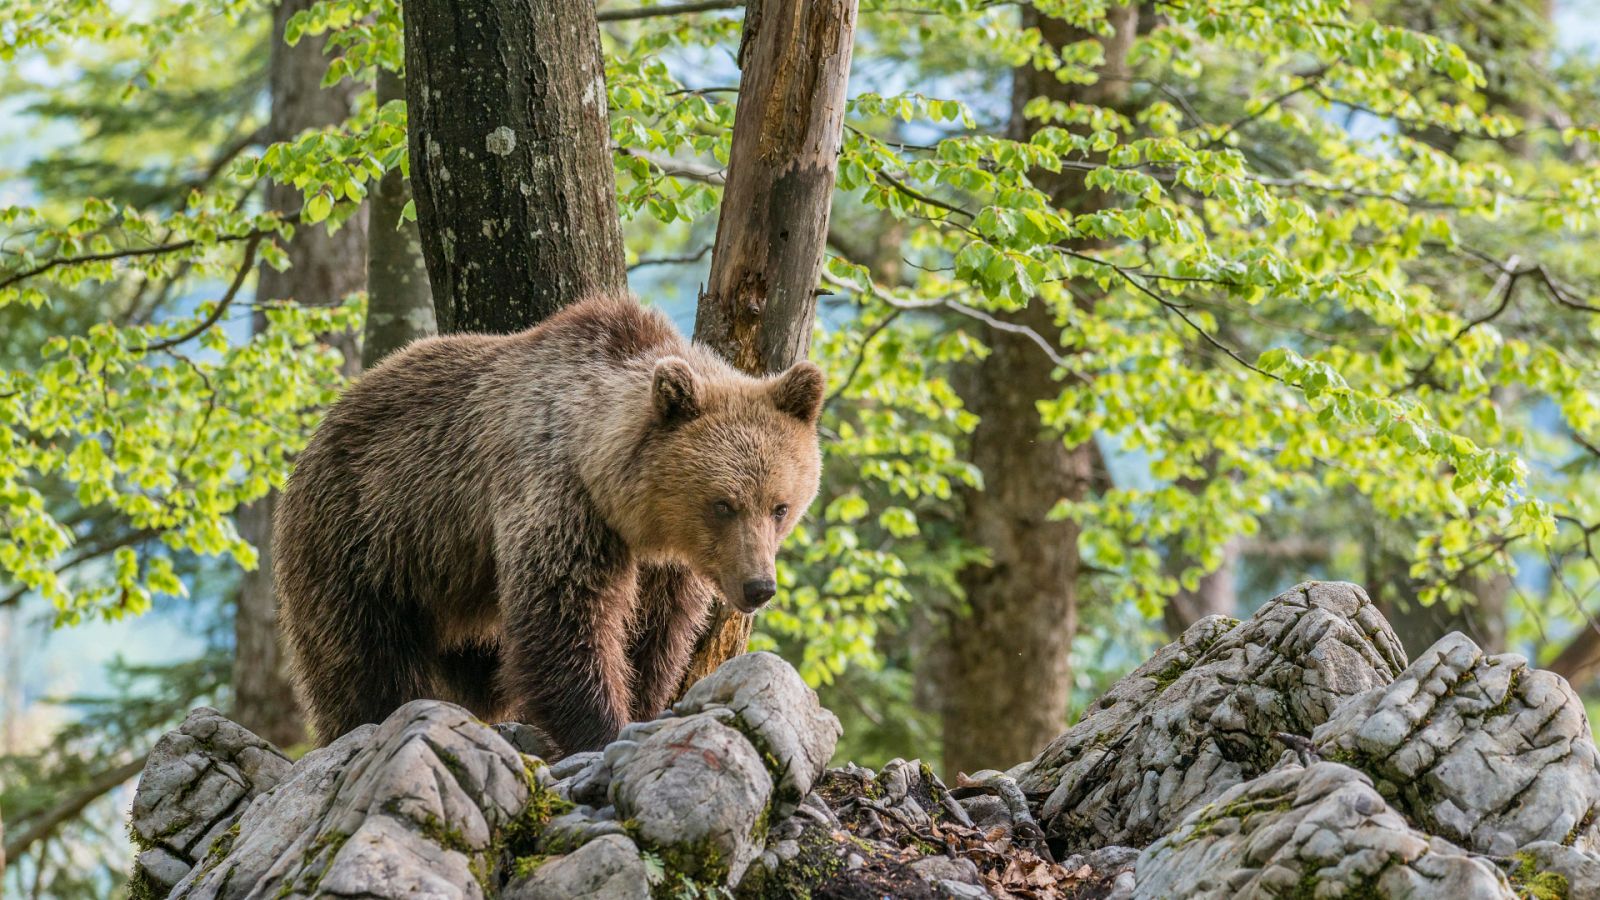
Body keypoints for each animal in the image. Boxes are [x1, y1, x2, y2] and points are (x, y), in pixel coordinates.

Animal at [273, 293, 824, 754]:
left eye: (780, 507)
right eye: (723, 504)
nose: (759, 586)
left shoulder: (666, 565)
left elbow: (656, 635)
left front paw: (645, 706)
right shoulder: (556, 497)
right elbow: (564, 617)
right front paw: (602, 729)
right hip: (366, 539)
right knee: (361, 660)